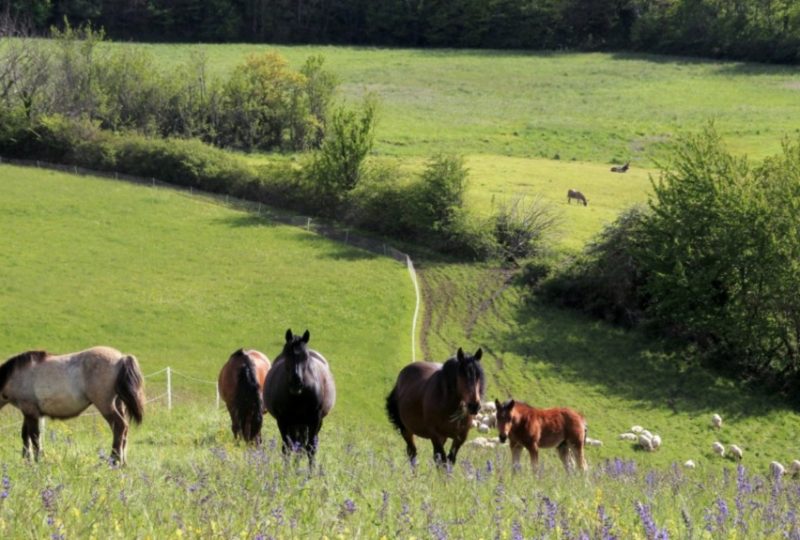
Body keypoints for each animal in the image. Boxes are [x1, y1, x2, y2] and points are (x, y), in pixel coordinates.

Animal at [0, 348, 145, 466]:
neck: (16, 375)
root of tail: (121, 358)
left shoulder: (30, 411)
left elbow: (34, 437)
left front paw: (37, 461)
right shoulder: (29, 413)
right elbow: (26, 436)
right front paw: (26, 460)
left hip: (105, 405)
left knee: (119, 426)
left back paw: (114, 461)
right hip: (118, 404)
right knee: (124, 430)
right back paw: (123, 463)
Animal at [264, 326, 336, 466]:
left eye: (305, 357)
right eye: (287, 354)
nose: (296, 382)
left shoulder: (315, 419)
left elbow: (311, 448)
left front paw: (310, 471)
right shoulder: (283, 420)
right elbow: (287, 448)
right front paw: (286, 470)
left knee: (303, 446)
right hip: (296, 424)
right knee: (296, 445)